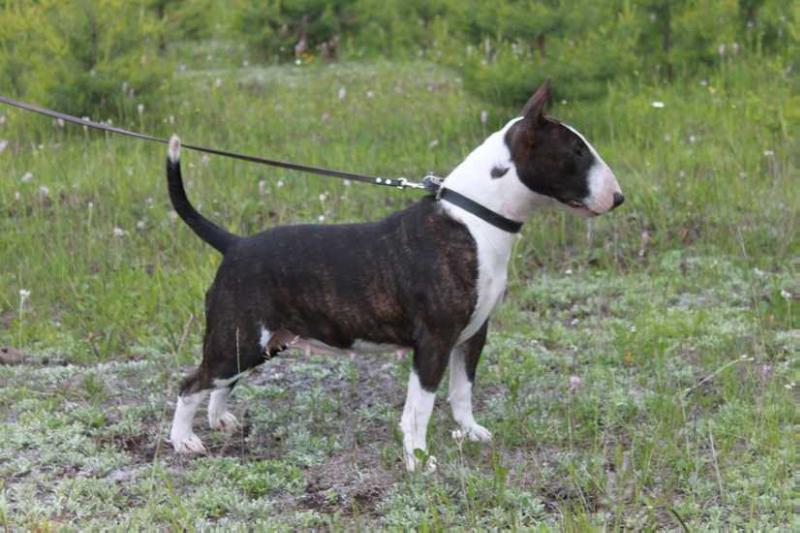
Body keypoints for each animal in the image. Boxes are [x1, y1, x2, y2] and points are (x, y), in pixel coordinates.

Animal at [164, 80, 624, 470]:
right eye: (577, 152)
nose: (618, 198)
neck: (475, 217)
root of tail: (235, 244)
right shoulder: (434, 340)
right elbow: (419, 408)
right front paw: (418, 461)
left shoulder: (474, 333)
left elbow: (462, 391)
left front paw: (470, 432)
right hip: (239, 336)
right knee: (191, 384)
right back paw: (184, 440)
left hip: (260, 341)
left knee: (221, 382)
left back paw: (221, 420)